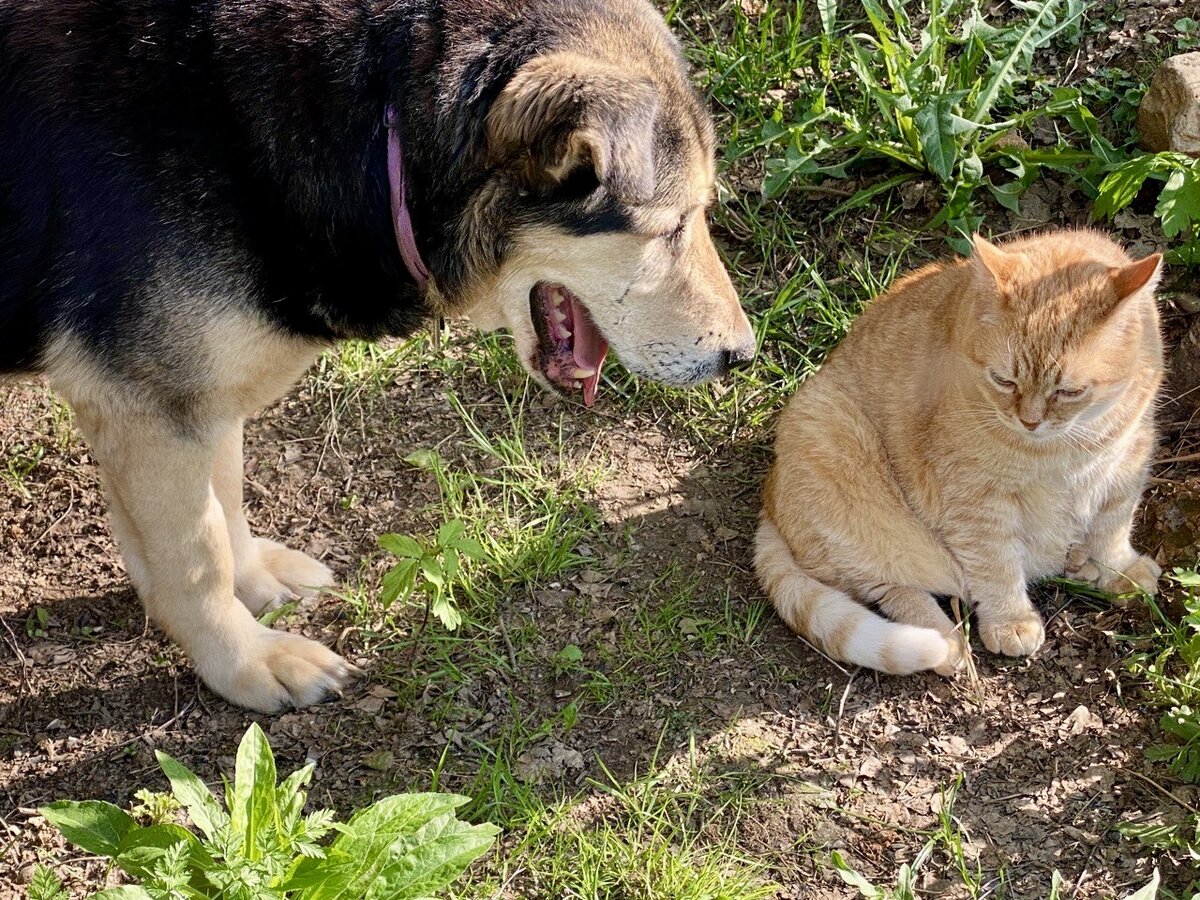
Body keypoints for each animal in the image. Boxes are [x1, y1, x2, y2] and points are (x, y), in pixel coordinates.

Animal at [0, 0, 748, 710]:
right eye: (672, 226)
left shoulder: (193, 398)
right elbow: (196, 560)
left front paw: (254, 577)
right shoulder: (150, 409)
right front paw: (247, 661)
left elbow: (225, 498)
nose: (742, 356)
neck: (378, 130)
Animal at [758, 232, 1161, 676]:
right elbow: (995, 564)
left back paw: (1079, 564)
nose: (1030, 421)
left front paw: (1119, 569)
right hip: (838, 458)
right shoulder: (976, 500)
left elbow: (1113, 528)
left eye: (1069, 391)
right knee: (890, 587)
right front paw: (1010, 620)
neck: (1063, 448)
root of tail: (770, 494)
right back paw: (945, 645)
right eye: (1004, 381)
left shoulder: (1128, 461)